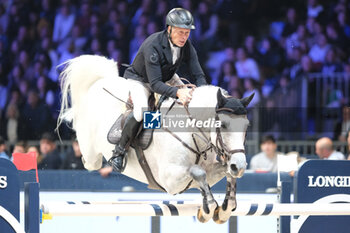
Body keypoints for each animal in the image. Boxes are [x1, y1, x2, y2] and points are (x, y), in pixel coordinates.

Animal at [58, 55, 254, 224]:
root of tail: (99, 83)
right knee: (90, 161)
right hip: (92, 153)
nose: (239, 166)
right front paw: (207, 210)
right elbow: (199, 172)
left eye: (247, 126)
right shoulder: (171, 181)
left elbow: (221, 175)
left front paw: (224, 209)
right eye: (223, 125)